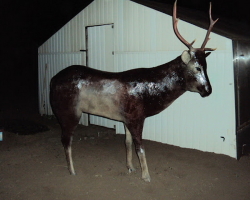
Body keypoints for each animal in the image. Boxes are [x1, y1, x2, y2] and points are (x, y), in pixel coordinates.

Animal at [49, 0, 219, 182]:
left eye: (206, 66)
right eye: (197, 67)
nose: (208, 90)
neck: (151, 96)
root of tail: (52, 81)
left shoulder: (126, 117)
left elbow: (127, 142)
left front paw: (130, 166)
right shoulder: (136, 116)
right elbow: (141, 147)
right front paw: (146, 175)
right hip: (68, 110)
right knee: (66, 139)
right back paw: (72, 170)